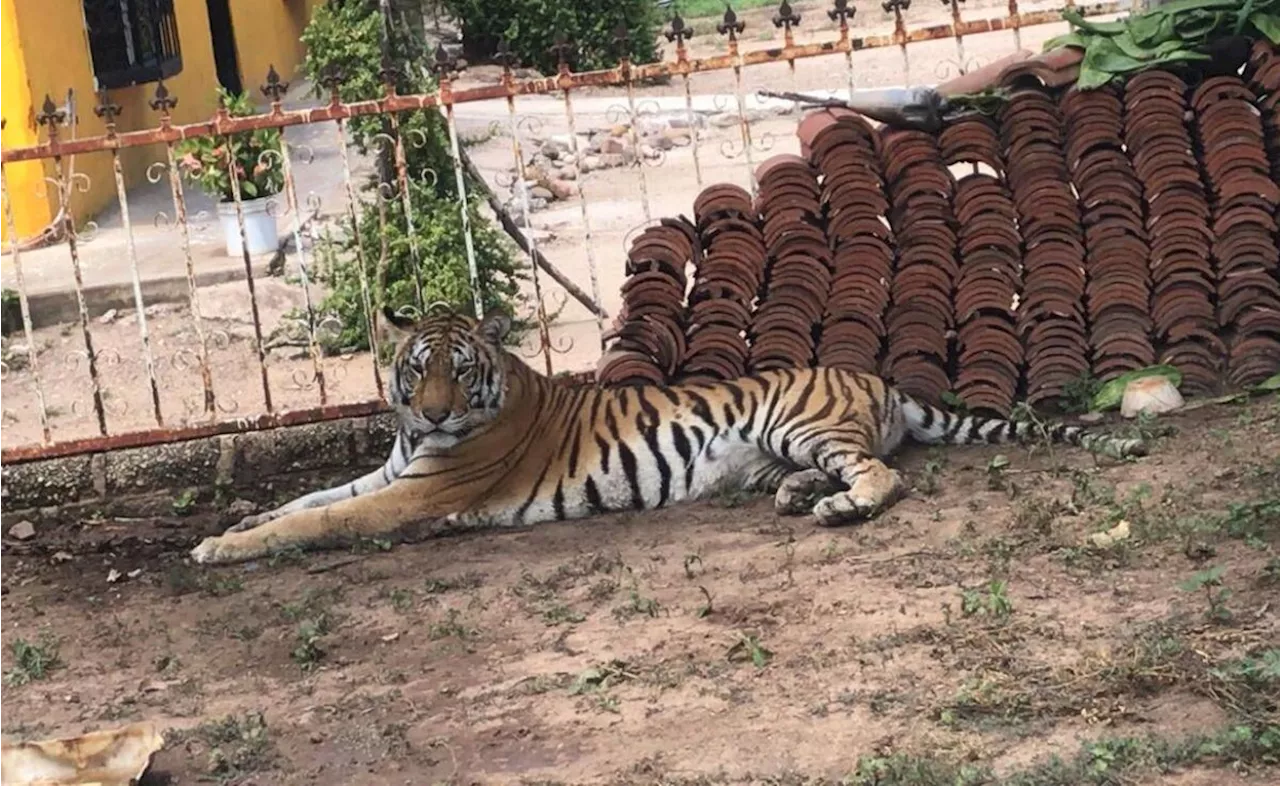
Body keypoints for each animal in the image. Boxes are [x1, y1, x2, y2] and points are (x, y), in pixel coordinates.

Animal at [186, 305, 1152, 565]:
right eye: (415, 367)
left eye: (458, 371)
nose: (428, 412)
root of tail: (877, 376)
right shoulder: (389, 472)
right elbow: (305, 498)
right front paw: (228, 527)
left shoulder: (417, 492)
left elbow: (319, 520)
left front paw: (219, 551)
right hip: (788, 442)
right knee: (851, 468)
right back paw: (800, 496)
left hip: (800, 420)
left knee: (888, 477)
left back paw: (837, 508)